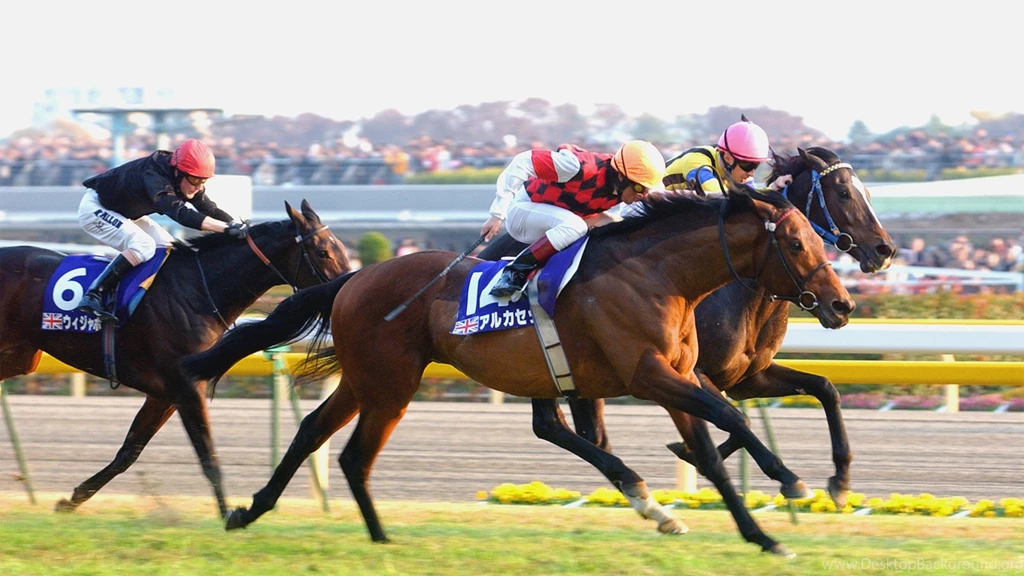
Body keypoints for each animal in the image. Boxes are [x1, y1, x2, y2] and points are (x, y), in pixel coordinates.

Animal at [0, 200, 350, 518]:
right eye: (322, 252)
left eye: (341, 247)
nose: (348, 285)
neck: (197, 291)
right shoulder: (186, 387)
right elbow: (208, 455)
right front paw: (229, 516)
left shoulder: (165, 394)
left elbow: (128, 452)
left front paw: (71, 500)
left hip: (19, 357)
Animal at [182, 189, 855, 556]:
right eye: (798, 244)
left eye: (819, 240)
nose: (843, 303)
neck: (660, 275)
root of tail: (353, 277)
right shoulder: (649, 377)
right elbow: (728, 417)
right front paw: (793, 481)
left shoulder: (675, 379)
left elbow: (714, 451)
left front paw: (763, 535)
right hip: (391, 382)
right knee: (352, 454)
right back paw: (372, 536)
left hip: (367, 378)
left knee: (315, 435)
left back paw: (252, 511)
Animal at [479, 147, 894, 508]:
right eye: (843, 192)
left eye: (866, 192)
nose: (885, 250)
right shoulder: (694, 371)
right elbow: (735, 419)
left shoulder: (747, 377)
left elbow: (824, 389)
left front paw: (840, 481)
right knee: (551, 425)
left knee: (579, 429)